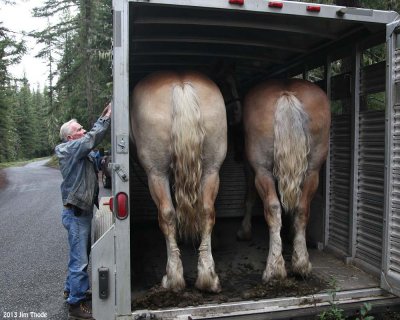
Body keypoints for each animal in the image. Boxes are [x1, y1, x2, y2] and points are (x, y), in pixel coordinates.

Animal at [130, 70, 227, 292]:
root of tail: (181, 85)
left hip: (156, 174)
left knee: (167, 214)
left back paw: (173, 278)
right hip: (211, 170)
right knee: (206, 212)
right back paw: (208, 277)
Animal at [238, 79, 332, 282]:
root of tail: (286, 93)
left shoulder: (250, 168)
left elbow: (249, 198)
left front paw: (245, 231)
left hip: (263, 172)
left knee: (273, 208)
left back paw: (274, 268)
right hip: (312, 172)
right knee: (302, 208)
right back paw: (301, 264)